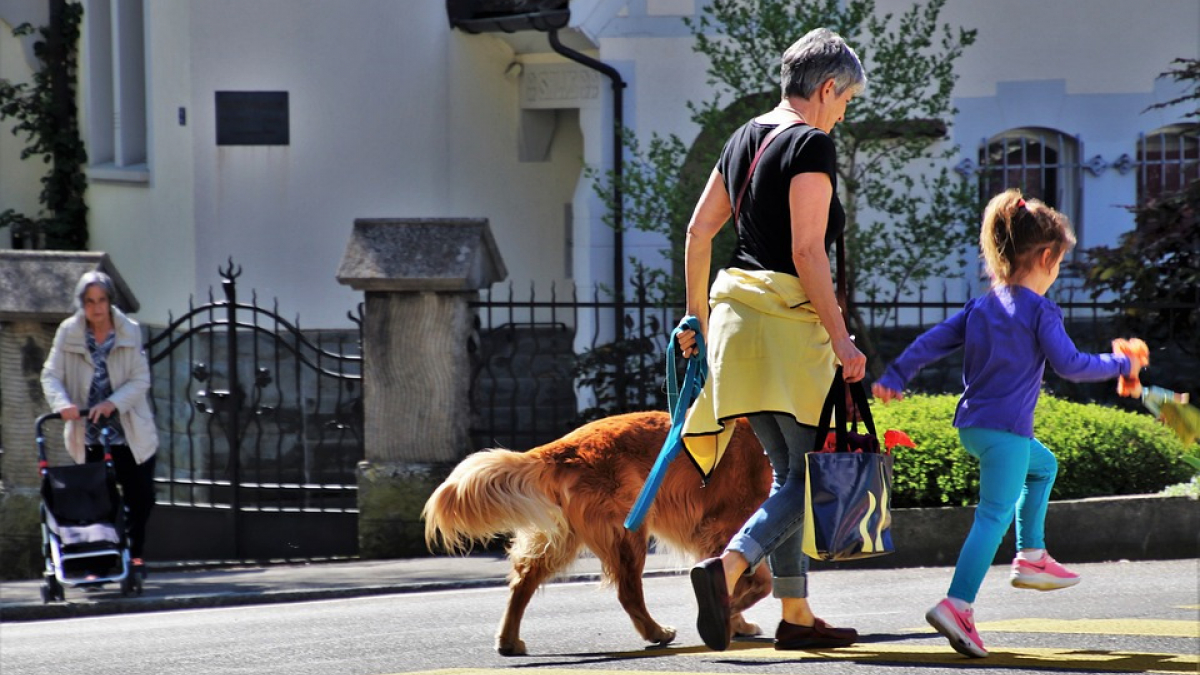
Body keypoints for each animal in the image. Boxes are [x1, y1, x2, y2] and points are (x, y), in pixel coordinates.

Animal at [422, 408, 772, 653]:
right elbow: (756, 582)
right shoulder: (727, 525)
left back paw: (508, 641)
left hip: (562, 538)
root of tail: (563, 447)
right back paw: (656, 632)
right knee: (628, 592)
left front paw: (734, 621)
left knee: (522, 582)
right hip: (628, 532)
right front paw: (729, 616)